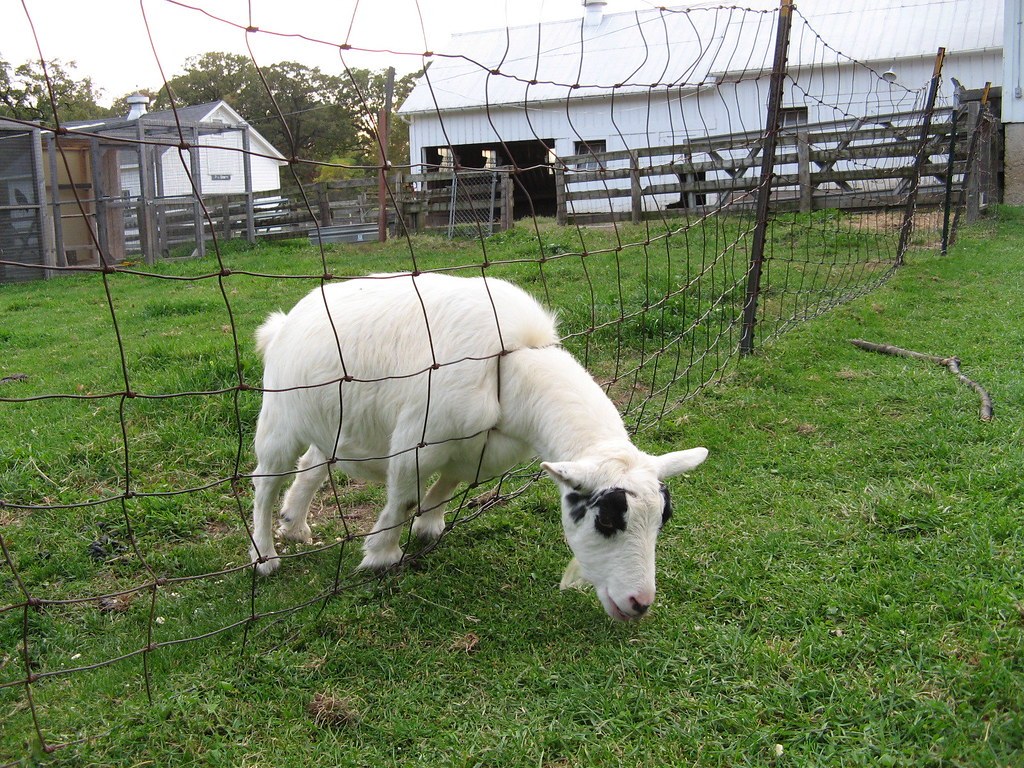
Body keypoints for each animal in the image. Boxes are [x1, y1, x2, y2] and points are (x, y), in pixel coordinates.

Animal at [251, 274, 708, 622]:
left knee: (312, 463)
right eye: (607, 520)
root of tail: (284, 322)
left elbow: (446, 487)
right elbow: (404, 499)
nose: (640, 603)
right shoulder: (417, 442)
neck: (510, 370)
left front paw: (428, 527)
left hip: (333, 424)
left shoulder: (481, 452)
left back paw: (294, 524)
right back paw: (265, 556)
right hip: (278, 416)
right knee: (265, 480)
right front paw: (381, 555)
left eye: (662, 520)